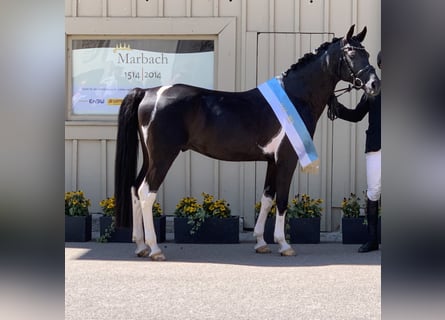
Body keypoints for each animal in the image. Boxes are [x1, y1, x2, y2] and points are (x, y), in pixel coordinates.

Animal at [113, 25, 378, 260]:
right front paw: (284, 245)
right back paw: (154, 249)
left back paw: (140, 246)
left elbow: (267, 197)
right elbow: (282, 199)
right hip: (163, 156)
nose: (374, 84)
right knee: (147, 192)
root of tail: (148, 92)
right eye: (351, 53)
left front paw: (261, 242)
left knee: (135, 189)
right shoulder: (287, 159)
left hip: (150, 157)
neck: (295, 96)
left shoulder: (272, 161)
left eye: (367, 53)